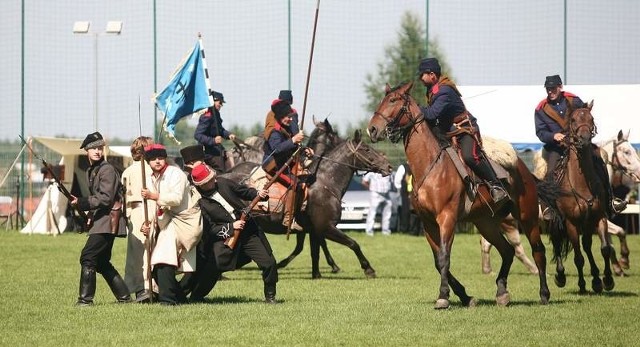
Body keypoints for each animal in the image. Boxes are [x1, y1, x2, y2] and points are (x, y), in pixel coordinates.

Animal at [221, 130, 390, 280]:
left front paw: (317, 274)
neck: (325, 183)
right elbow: (353, 244)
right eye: (366, 149)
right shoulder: (326, 228)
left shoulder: (313, 230)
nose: (388, 166)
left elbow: (314, 251)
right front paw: (368, 269)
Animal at [364, 81, 552, 310]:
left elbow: (444, 257)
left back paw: (544, 294)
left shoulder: (447, 219)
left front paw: (443, 296)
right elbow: (438, 261)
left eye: (393, 100)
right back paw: (501, 292)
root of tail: (524, 170)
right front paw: (465, 296)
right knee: (507, 251)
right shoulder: (428, 223)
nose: (372, 129)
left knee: (538, 250)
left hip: (527, 217)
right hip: (486, 223)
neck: (431, 165)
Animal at [544, 102, 616, 294]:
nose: (584, 139)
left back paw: (597, 280)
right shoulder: (571, 223)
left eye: (591, 119)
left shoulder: (599, 217)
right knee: (557, 242)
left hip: (587, 223)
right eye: (574, 119)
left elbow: (605, 249)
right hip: (556, 222)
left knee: (587, 246)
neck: (582, 183)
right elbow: (578, 258)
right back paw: (561, 276)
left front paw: (607, 280)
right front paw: (582, 285)